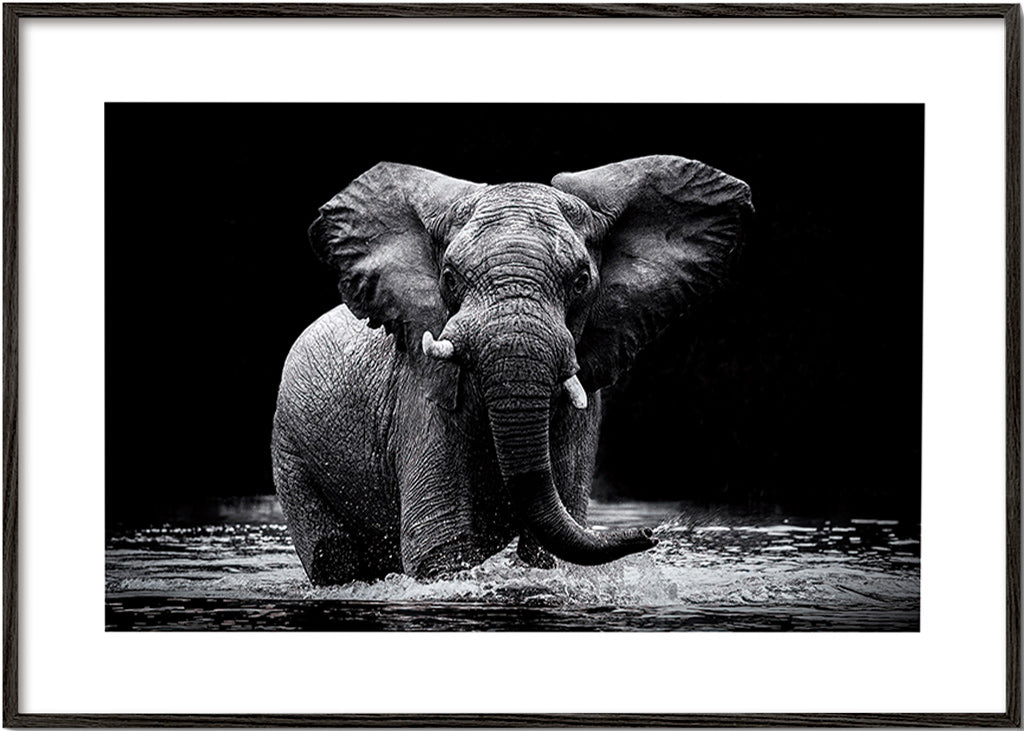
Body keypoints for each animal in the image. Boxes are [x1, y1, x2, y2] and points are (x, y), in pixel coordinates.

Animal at [271, 155, 752, 585]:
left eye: (581, 280)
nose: (652, 532)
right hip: (289, 451)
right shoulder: (423, 389)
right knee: (331, 558)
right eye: (449, 278)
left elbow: (548, 551)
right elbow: (439, 549)